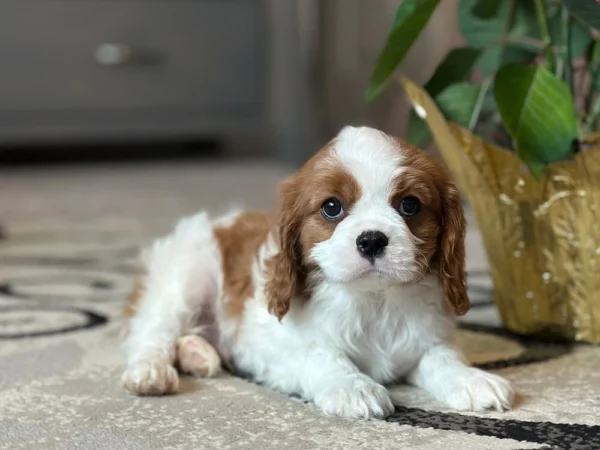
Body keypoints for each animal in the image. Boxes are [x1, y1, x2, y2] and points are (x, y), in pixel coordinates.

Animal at [119, 125, 512, 418]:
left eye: (410, 205)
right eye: (332, 207)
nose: (371, 240)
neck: (374, 300)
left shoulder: (427, 336)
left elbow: (442, 356)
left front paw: (470, 378)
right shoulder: (272, 346)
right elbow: (320, 354)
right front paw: (354, 387)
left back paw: (197, 355)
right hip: (185, 275)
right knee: (153, 331)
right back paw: (150, 371)